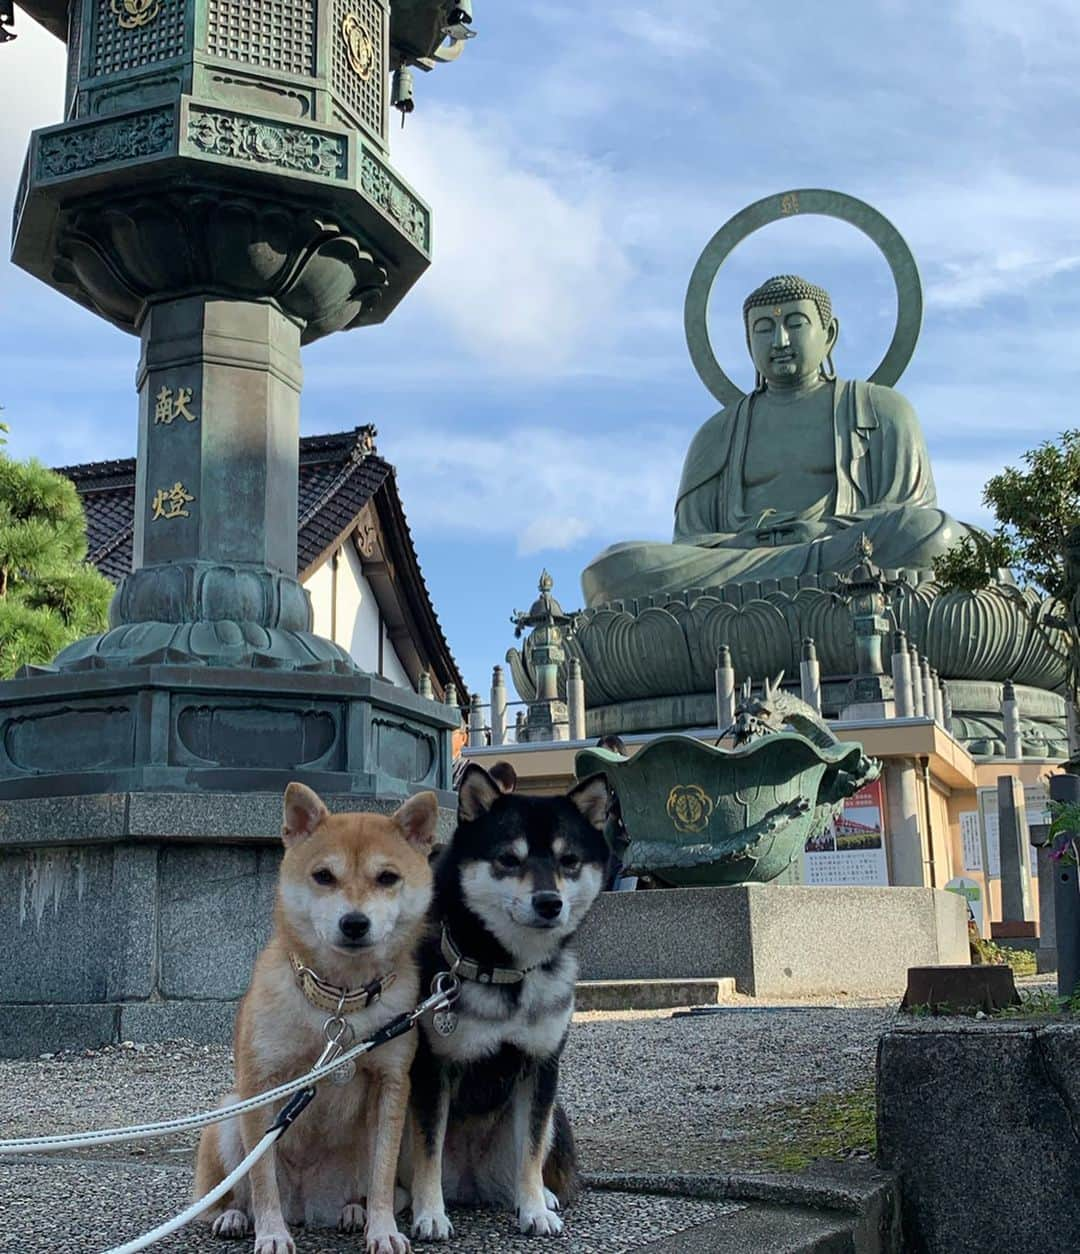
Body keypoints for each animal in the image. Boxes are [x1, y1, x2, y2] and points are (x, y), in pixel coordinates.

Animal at [194, 782, 434, 1254]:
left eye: (387, 878)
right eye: (324, 876)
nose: (355, 922)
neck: (339, 1002)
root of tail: (307, 1205)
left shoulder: (392, 1084)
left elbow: (382, 1177)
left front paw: (382, 1229)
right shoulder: (262, 1084)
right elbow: (262, 1177)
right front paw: (271, 1232)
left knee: (372, 1188)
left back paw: (353, 1211)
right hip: (229, 1116)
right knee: (225, 1194)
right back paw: (234, 1216)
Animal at [403, 757, 612, 1238]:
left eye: (569, 861)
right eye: (508, 860)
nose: (550, 902)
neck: (503, 970)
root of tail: (469, 1183)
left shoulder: (539, 1067)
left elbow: (530, 1152)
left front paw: (534, 1209)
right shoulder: (432, 1069)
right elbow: (427, 1149)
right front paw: (430, 1214)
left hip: (557, 1117)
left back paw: (544, 1196)